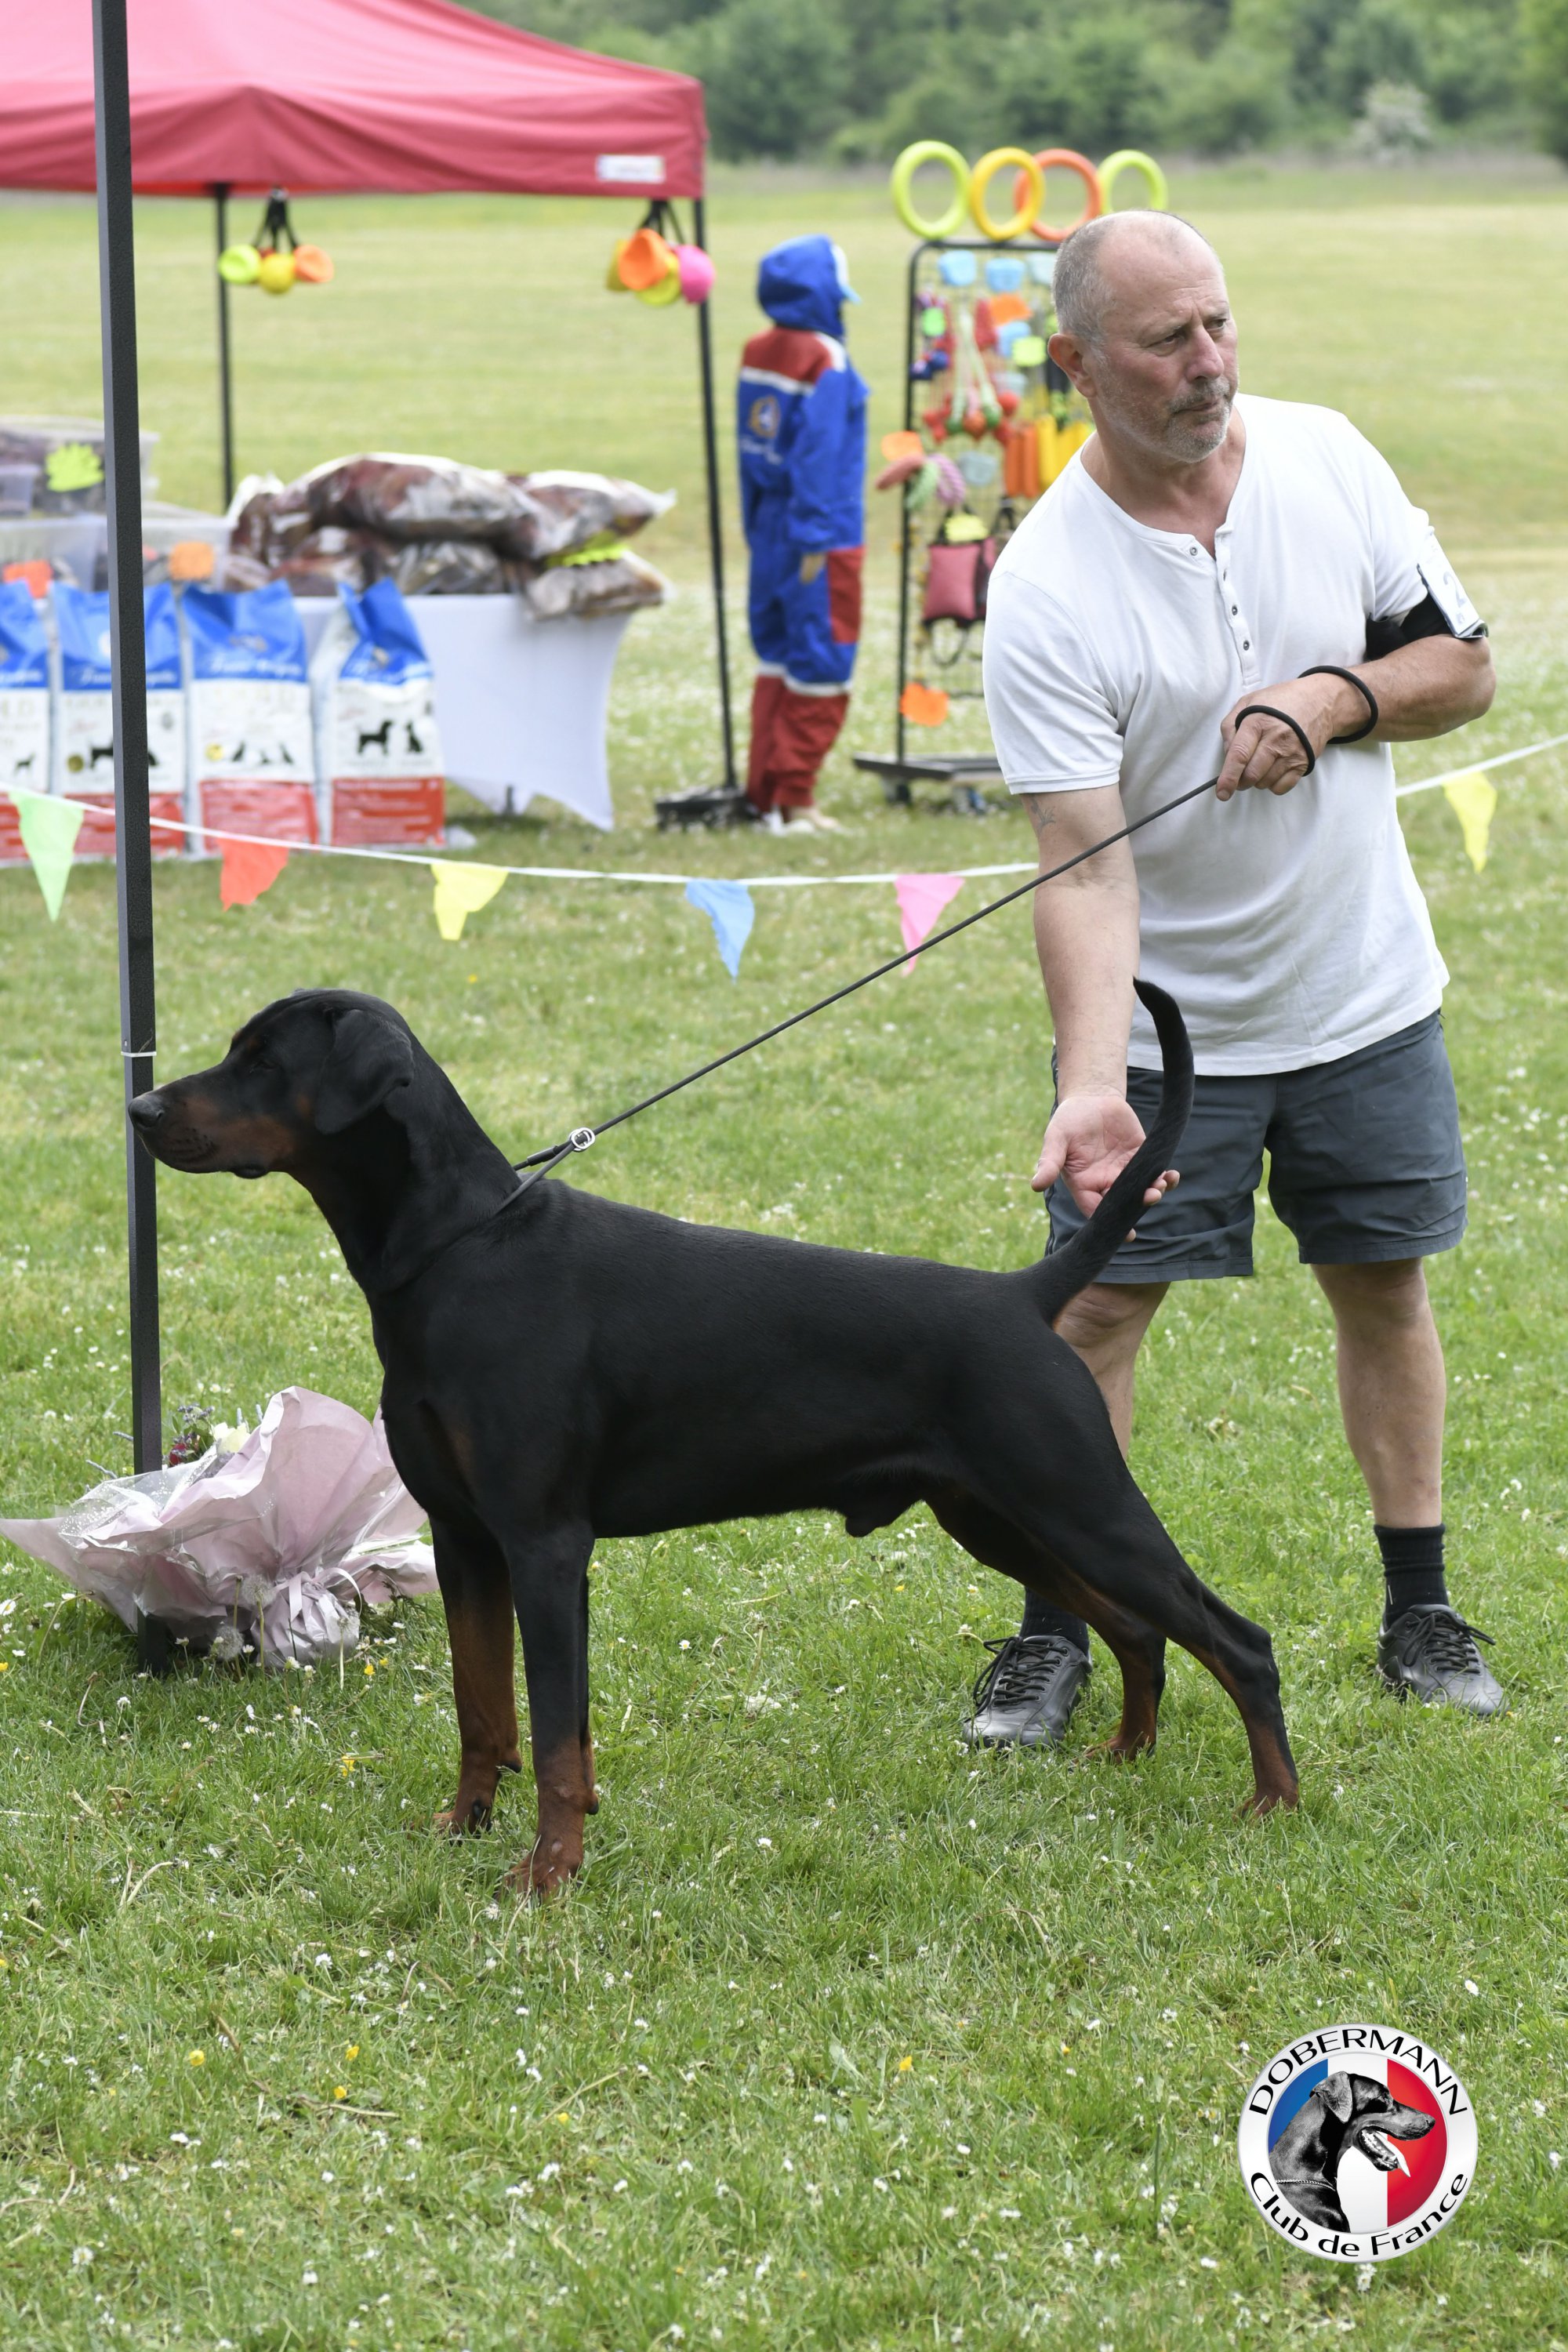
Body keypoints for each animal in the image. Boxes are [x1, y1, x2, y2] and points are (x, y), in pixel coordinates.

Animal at [127, 984, 1297, 1894]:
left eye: (262, 1060)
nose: (139, 1103)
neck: (456, 1250)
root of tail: (1021, 1295)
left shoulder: (545, 1546)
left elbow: (556, 1736)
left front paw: (547, 1874)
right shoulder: (464, 1541)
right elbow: (481, 1709)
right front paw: (462, 1829)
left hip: (1078, 1500)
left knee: (1235, 1639)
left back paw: (1274, 1807)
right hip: (1000, 1518)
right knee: (1139, 1631)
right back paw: (1127, 1753)